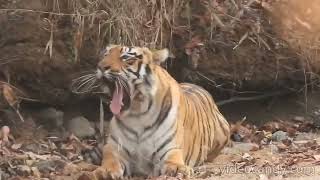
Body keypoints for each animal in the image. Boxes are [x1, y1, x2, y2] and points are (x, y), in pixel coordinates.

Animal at [90, 45, 230, 180]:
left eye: (125, 58)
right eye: (105, 55)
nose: (100, 66)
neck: (137, 115)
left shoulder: (171, 148)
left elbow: (173, 161)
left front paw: (178, 169)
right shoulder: (114, 148)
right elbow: (110, 161)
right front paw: (105, 171)